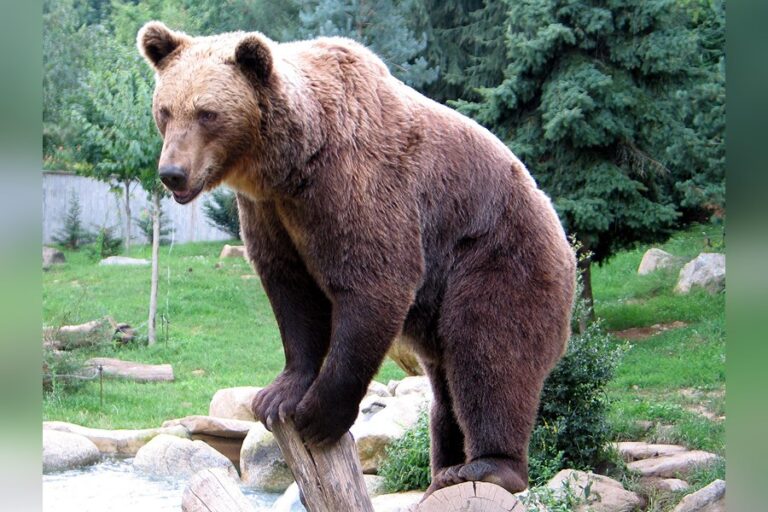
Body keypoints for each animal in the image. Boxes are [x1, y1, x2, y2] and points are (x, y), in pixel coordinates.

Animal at [138, 21, 576, 496]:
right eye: (165, 111)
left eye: (207, 113)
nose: (172, 173)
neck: (291, 164)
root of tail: (565, 243)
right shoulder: (271, 212)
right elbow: (292, 293)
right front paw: (277, 396)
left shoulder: (356, 184)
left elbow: (375, 281)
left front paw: (318, 415)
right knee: (445, 385)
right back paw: (444, 470)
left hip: (497, 258)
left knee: (488, 351)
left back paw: (488, 467)